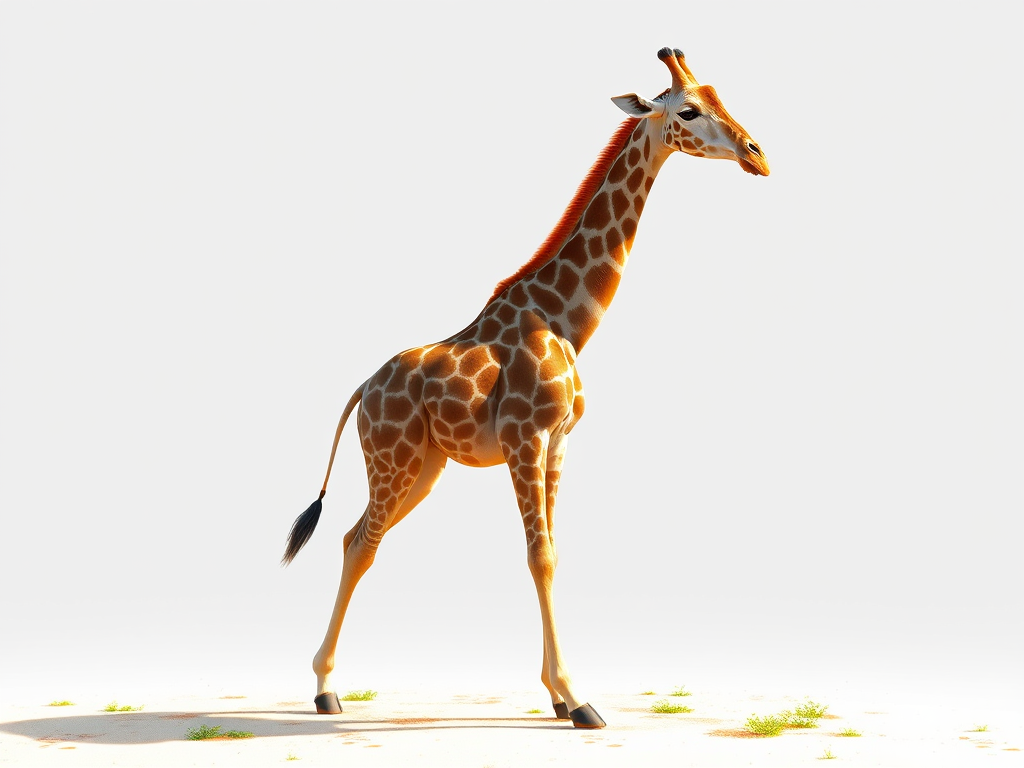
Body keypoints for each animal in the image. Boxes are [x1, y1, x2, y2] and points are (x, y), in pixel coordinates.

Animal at [283, 47, 769, 728]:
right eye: (689, 110)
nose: (757, 154)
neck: (564, 319)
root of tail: (362, 388)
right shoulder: (524, 439)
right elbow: (538, 557)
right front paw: (579, 698)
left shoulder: (557, 443)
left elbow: (554, 553)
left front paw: (559, 697)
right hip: (393, 460)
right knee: (362, 542)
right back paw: (326, 689)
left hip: (425, 466)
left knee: (357, 536)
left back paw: (328, 686)